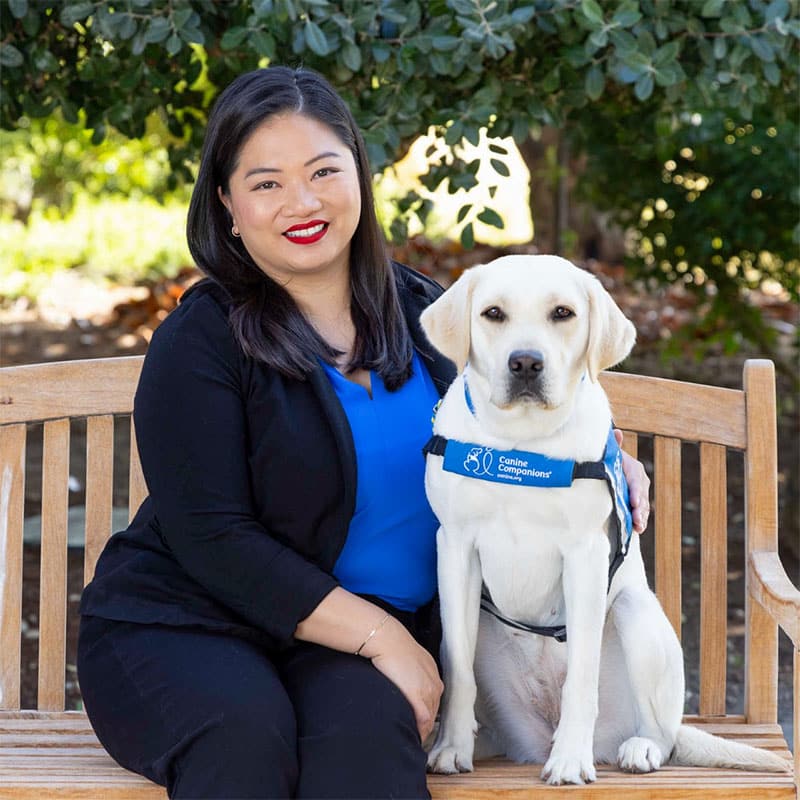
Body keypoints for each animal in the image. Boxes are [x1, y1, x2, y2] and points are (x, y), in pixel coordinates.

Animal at [422, 258, 784, 788]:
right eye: (493, 313)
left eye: (562, 313)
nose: (525, 363)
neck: (520, 445)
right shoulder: (455, 548)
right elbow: (457, 667)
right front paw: (450, 747)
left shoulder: (585, 556)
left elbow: (581, 675)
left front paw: (570, 760)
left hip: (635, 615)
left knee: (661, 732)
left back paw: (637, 748)